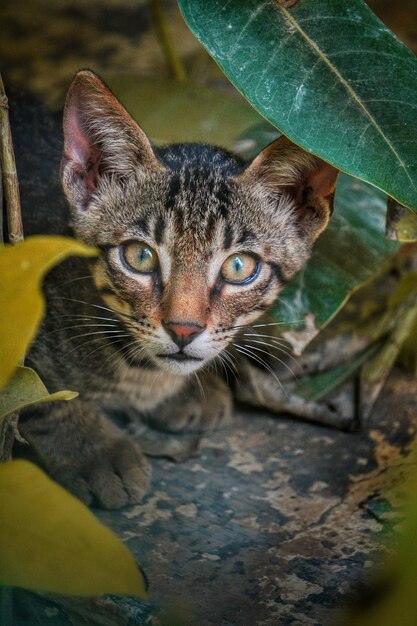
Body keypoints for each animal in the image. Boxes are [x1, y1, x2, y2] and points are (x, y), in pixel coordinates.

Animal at [20, 70, 338, 508]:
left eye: (239, 267)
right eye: (140, 256)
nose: (183, 330)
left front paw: (180, 396)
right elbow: (35, 390)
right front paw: (92, 451)